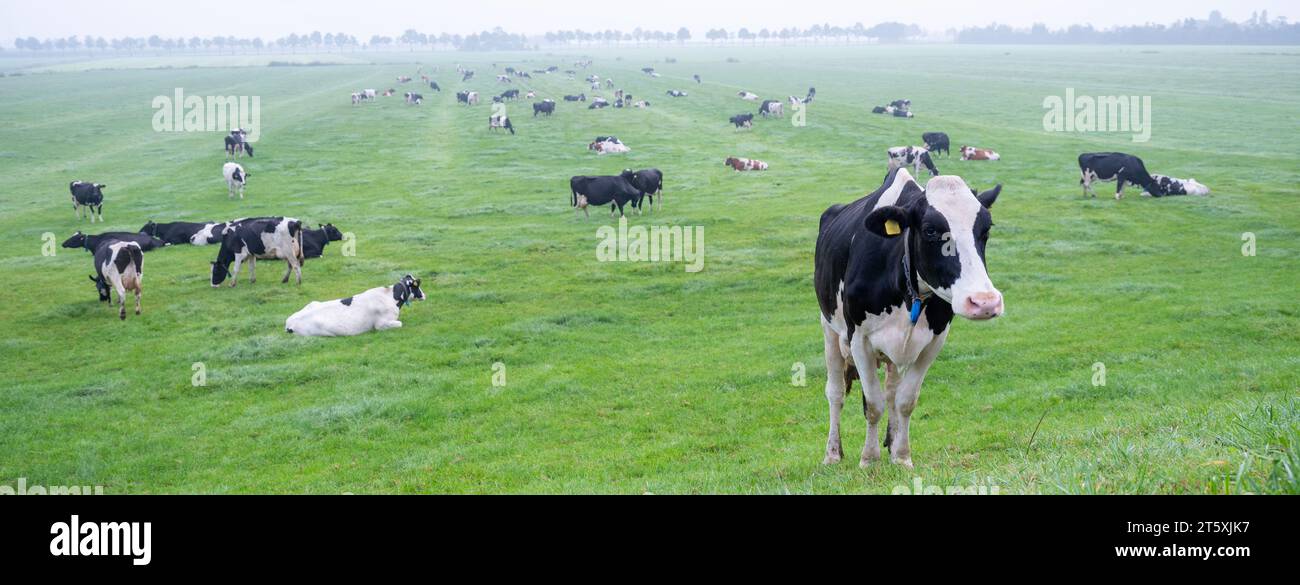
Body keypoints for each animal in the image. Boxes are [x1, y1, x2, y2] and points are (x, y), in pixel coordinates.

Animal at [285, 275, 425, 337]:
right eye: (417, 285)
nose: (424, 295)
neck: (389, 296)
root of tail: (289, 323)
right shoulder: (380, 324)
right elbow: (400, 323)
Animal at [814, 167, 1003, 468]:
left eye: (985, 230)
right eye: (930, 230)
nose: (985, 302)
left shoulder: (934, 341)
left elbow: (905, 400)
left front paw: (902, 456)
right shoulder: (859, 339)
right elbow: (873, 404)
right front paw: (869, 459)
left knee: (891, 391)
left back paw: (891, 444)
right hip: (829, 330)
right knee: (836, 392)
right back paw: (832, 453)